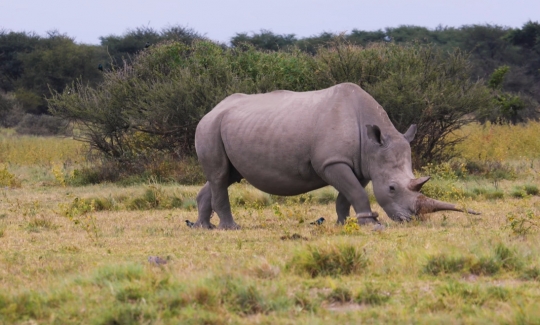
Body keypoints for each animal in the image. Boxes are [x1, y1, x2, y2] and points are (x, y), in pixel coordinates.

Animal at [193, 82, 476, 229]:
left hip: (230, 126)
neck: (373, 143)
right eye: (392, 188)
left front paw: (344, 223)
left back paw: (204, 227)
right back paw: (230, 228)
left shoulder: (362, 163)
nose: (411, 220)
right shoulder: (331, 162)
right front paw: (372, 225)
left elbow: (347, 195)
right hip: (209, 127)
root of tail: (212, 109)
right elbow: (356, 192)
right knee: (220, 175)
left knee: (227, 176)